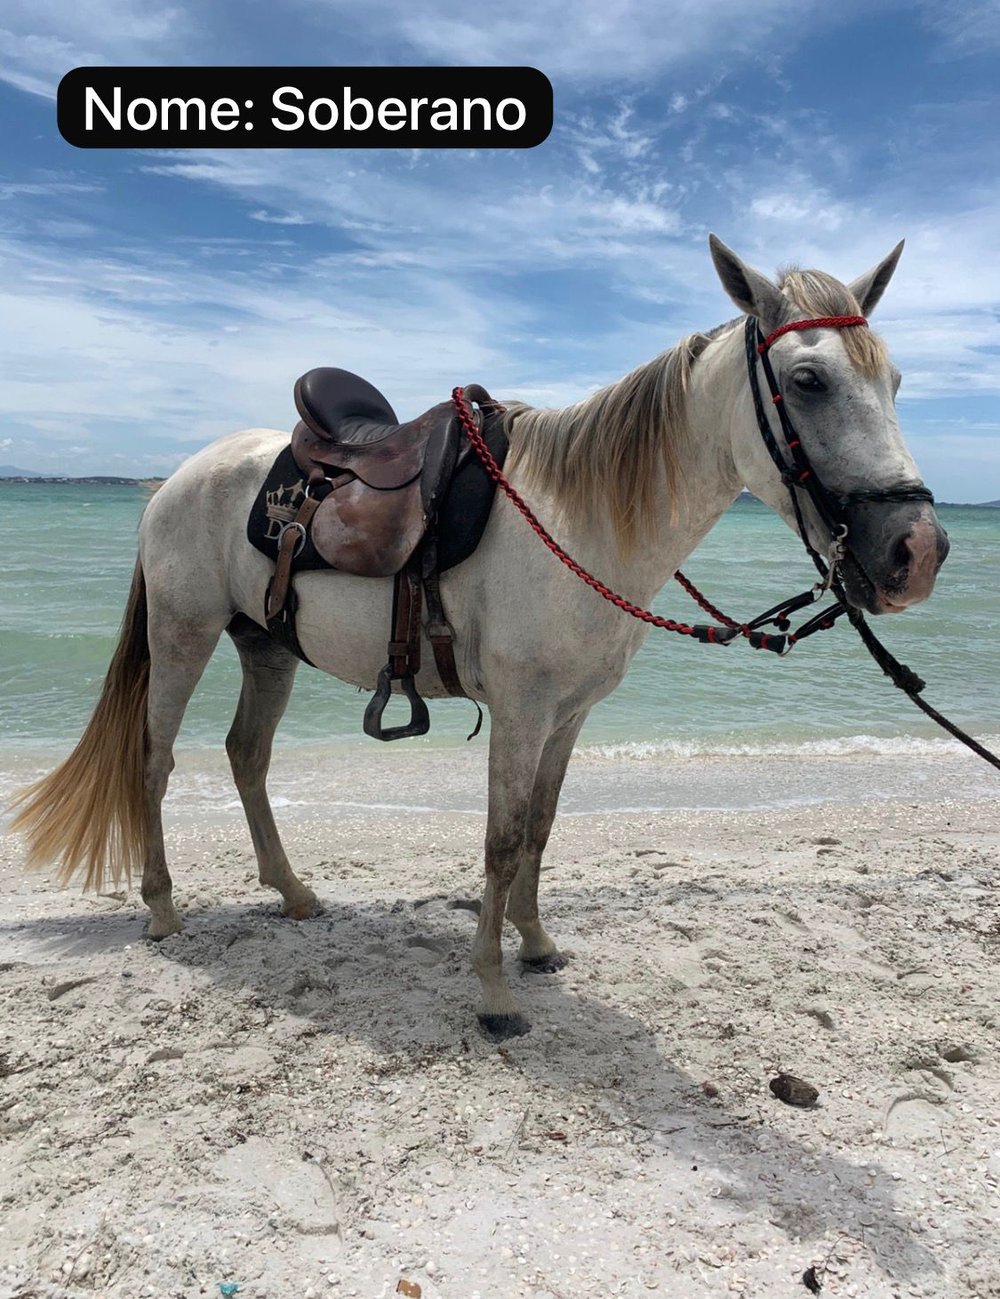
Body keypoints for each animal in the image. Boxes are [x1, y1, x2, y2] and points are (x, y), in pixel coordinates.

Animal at [11, 237, 949, 1040]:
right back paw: (163, 908)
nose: (918, 552)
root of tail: (174, 478)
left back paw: (294, 892)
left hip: (266, 644)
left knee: (246, 755)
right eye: (807, 378)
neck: (576, 518)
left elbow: (539, 826)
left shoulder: (569, 714)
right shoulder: (523, 710)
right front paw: (495, 993)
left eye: (898, 381)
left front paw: (535, 946)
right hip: (184, 635)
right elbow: (500, 840)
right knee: (155, 760)